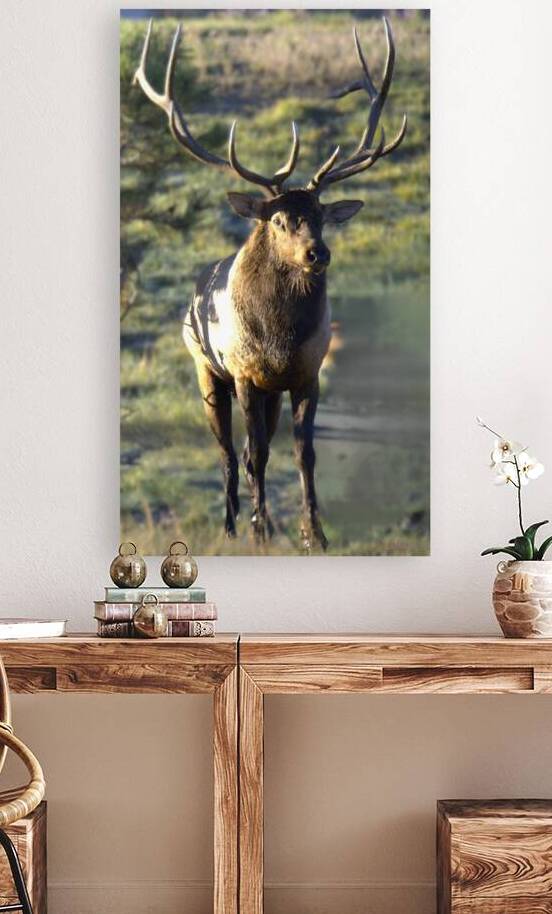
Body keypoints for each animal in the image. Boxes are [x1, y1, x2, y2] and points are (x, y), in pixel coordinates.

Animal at [133, 17, 407, 552]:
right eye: (279, 220)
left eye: (320, 215)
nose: (318, 254)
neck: (280, 337)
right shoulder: (243, 373)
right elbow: (256, 454)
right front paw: (259, 529)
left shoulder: (305, 373)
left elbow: (304, 453)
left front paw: (313, 533)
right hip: (207, 371)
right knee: (228, 454)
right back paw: (234, 526)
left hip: (269, 393)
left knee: (248, 451)